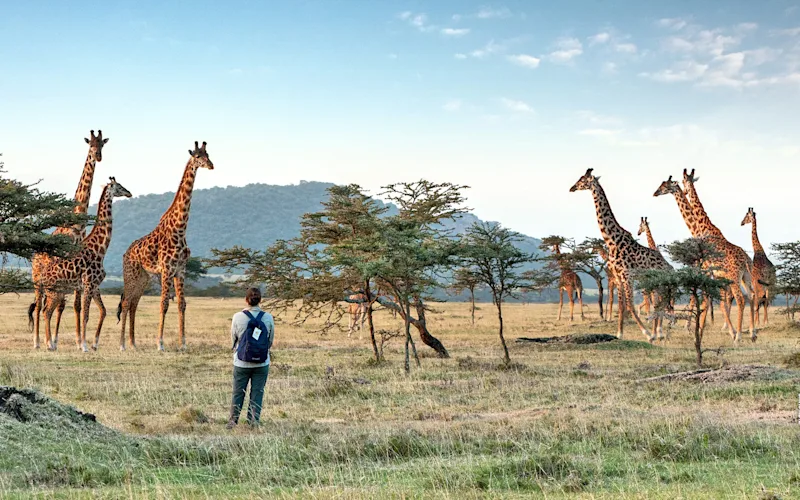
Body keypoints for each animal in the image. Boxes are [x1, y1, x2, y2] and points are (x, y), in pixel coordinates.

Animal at [30, 130, 109, 349]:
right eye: (90, 144)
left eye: (102, 144)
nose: (98, 156)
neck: (76, 227)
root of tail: (34, 256)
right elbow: (64, 305)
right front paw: (57, 341)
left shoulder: (76, 272)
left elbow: (75, 306)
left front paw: (75, 341)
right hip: (37, 279)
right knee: (38, 305)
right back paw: (37, 341)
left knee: (47, 305)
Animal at [36, 178, 132, 351]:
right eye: (119, 186)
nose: (129, 193)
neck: (100, 249)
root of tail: (42, 277)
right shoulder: (88, 284)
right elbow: (86, 316)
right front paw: (84, 346)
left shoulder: (94, 286)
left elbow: (102, 311)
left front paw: (92, 344)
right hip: (55, 292)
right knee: (46, 312)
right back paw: (49, 344)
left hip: (58, 292)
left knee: (46, 311)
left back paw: (50, 343)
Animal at [117, 142, 213, 351]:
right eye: (197, 156)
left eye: (208, 155)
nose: (211, 165)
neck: (180, 228)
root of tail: (126, 253)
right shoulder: (167, 270)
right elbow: (163, 304)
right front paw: (160, 344)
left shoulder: (181, 270)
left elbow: (181, 304)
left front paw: (183, 344)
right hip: (131, 273)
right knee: (126, 302)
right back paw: (122, 345)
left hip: (143, 277)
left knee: (133, 304)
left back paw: (132, 343)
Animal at [570, 169, 672, 341]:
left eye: (582, 180)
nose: (572, 188)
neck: (612, 240)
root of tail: (669, 267)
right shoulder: (618, 276)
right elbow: (622, 305)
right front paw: (619, 333)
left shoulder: (627, 275)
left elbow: (629, 305)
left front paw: (647, 334)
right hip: (655, 284)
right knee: (660, 303)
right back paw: (658, 332)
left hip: (659, 283)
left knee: (661, 303)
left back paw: (657, 332)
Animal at [653, 173, 756, 342]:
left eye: (665, 185)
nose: (655, 193)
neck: (701, 228)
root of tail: (746, 260)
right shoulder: (714, 274)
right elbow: (713, 301)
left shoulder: (706, 270)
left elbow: (706, 300)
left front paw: (698, 331)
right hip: (745, 276)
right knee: (751, 296)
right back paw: (752, 333)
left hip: (734, 277)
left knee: (740, 299)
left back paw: (738, 336)